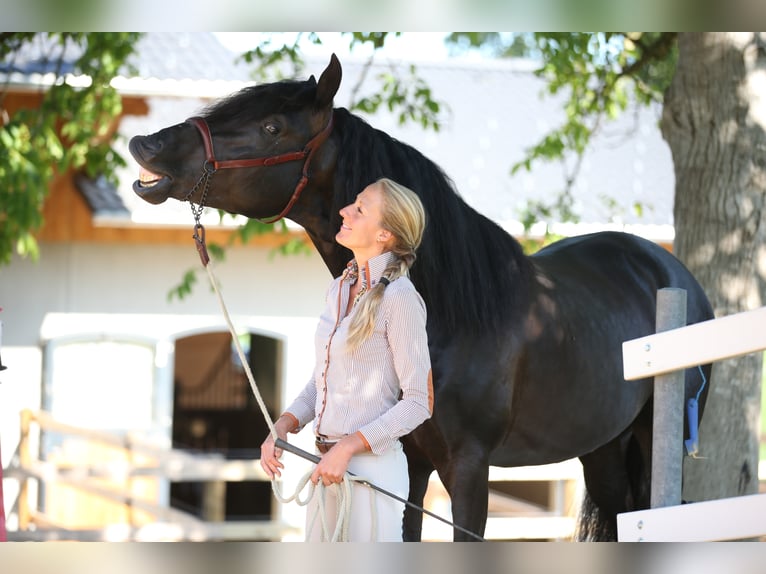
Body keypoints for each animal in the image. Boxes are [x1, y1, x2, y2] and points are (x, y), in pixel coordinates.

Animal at [129, 54, 713, 541]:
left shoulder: (469, 469)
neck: (447, 313)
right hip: (604, 448)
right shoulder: (405, 463)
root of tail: (669, 270)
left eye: (272, 126)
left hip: (652, 443)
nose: (147, 146)